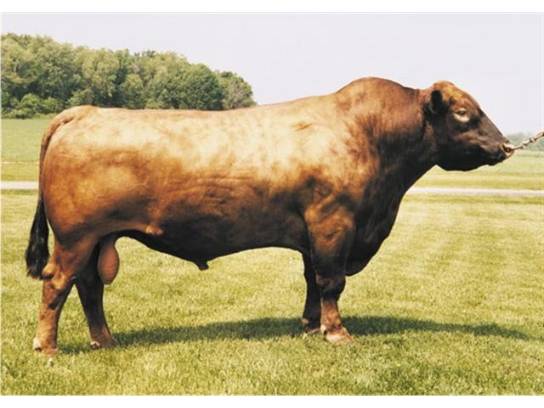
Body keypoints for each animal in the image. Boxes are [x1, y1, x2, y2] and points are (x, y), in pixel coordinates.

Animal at [25, 77, 513, 355]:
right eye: (464, 113)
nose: (506, 146)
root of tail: (84, 112)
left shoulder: (315, 234)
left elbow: (313, 280)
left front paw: (311, 325)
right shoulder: (334, 224)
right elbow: (332, 281)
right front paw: (336, 333)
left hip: (96, 240)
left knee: (89, 287)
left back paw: (105, 340)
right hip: (76, 237)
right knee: (57, 284)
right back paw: (47, 348)